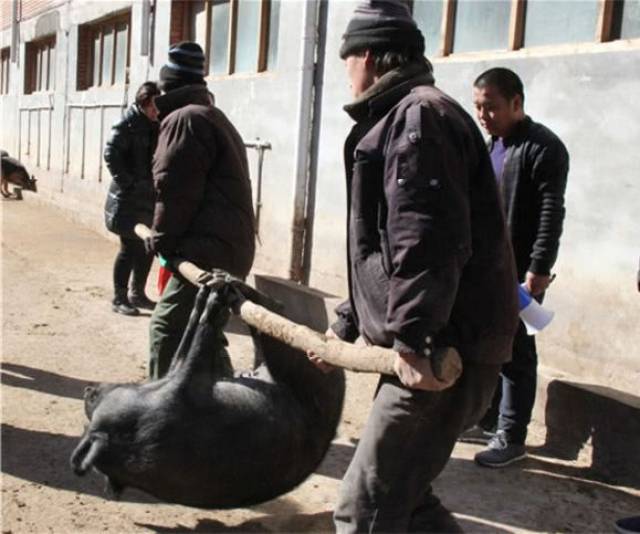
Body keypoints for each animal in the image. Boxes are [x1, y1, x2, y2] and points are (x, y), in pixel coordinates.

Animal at [70, 282, 344, 508]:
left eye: (90, 404)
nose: (88, 389)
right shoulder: (180, 395)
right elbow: (198, 346)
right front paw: (214, 300)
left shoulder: (175, 383)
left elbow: (183, 349)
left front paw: (206, 291)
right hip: (302, 365)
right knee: (270, 330)